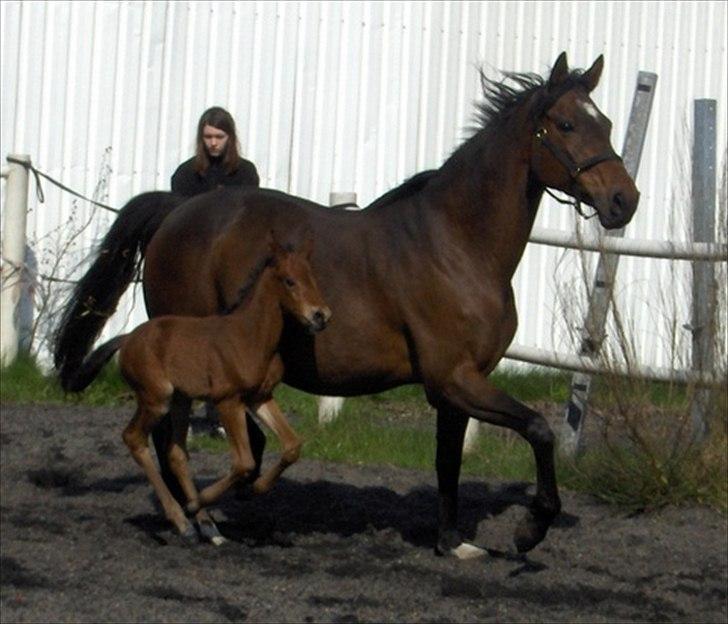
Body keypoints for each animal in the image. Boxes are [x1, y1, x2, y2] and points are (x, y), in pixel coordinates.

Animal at [62, 234, 330, 540]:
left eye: (313, 278)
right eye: (289, 281)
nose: (321, 315)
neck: (250, 336)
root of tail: (128, 338)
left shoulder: (260, 397)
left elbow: (292, 446)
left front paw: (255, 489)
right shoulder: (228, 400)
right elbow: (244, 463)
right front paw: (196, 503)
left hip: (182, 400)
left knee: (176, 453)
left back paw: (205, 526)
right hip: (157, 399)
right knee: (134, 438)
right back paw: (182, 518)